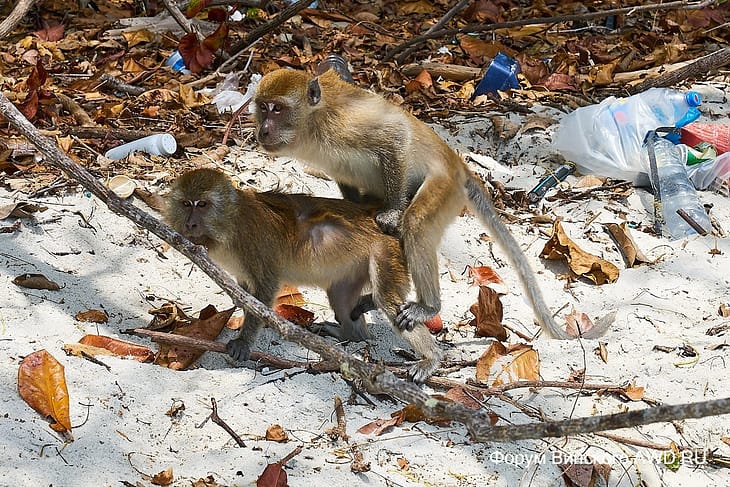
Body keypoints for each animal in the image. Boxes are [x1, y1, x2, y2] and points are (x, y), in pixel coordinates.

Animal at [165, 168, 442, 382]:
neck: (229, 225)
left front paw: (244, 341)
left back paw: (431, 358)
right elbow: (244, 292)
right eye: (185, 204)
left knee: (387, 300)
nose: (190, 223)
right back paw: (350, 336)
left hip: (385, 251)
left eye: (202, 205)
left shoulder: (253, 241)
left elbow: (265, 289)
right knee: (342, 299)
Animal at [252, 68, 571, 340]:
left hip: (444, 187)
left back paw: (428, 306)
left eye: (278, 109)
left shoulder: (346, 125)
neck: (313, 123)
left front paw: (392, 214)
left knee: (417, 223)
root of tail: (456, 162)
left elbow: (396, 135)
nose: (262, 130)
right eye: (262, 107)